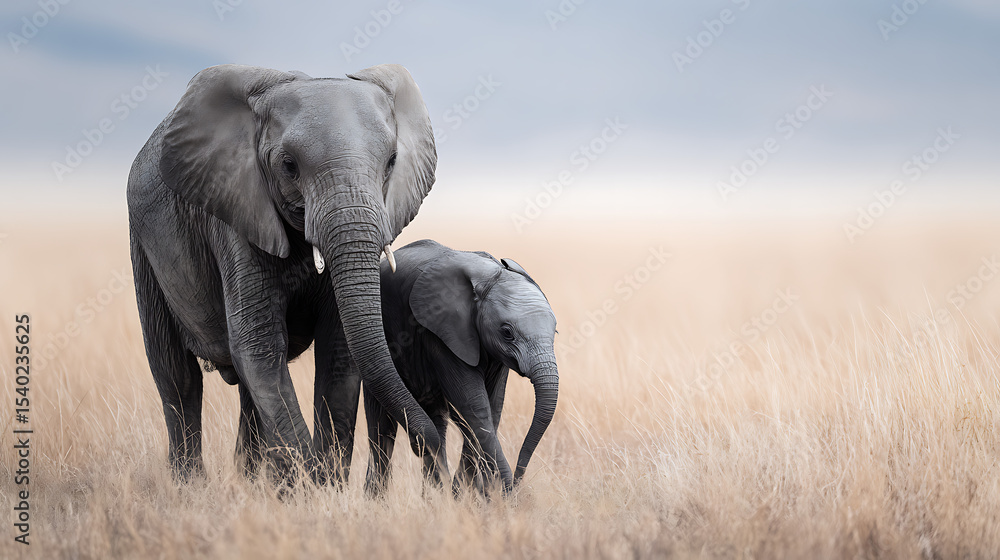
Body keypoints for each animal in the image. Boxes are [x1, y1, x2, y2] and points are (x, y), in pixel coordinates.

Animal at [126, 63, 445, 483]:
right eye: (289, 166)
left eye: (392, 161)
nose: (428, 447)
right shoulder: (236, 213)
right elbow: (258, 346)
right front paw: (308, 484)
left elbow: (338, 351)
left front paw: (325, 484)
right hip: (142, 244)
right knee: (177, 376)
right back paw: (191, 485)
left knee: (243, 389)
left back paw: (248, 482)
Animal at [358, 239, 559, 497]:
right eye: (507, 332)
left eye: (555, 331)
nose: (517, 482)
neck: (489, 277)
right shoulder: (441, 332)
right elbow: (472, 404)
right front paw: (496, 496)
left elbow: (492, 406)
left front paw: (468, 495)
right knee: (381, 426)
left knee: (438, 422)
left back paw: (435, 496)